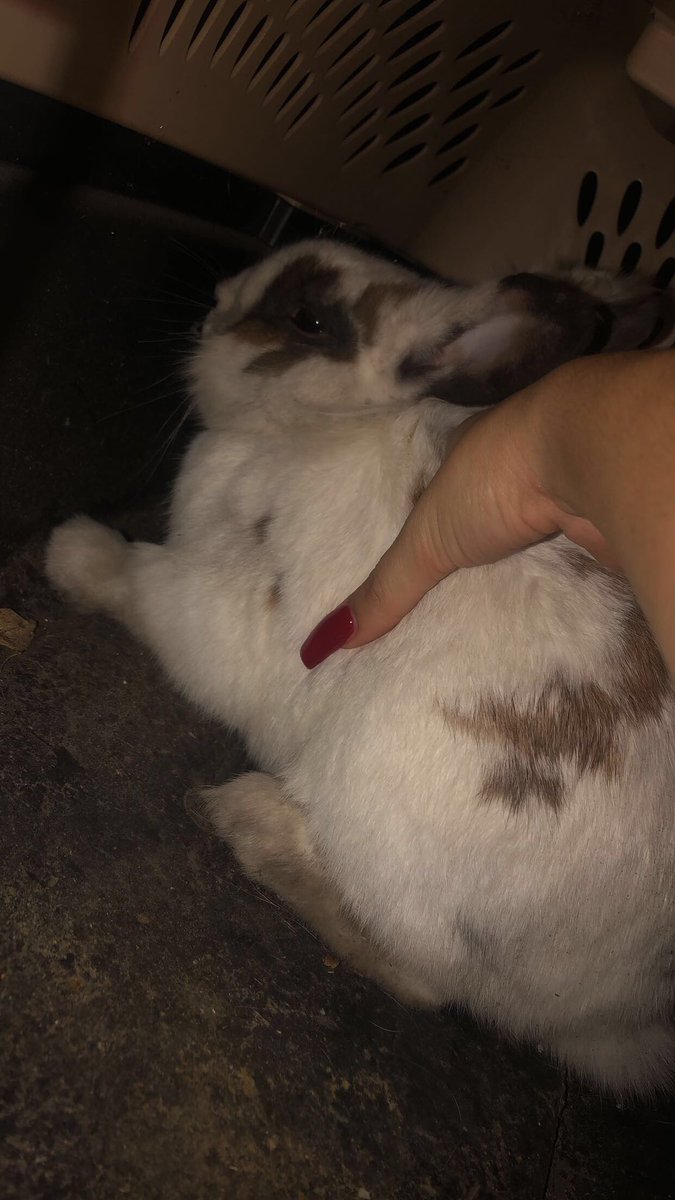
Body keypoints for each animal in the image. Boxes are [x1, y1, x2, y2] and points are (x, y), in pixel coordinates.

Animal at [45, 239, 675, 1097]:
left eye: (308, 319)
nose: (214, 304)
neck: (318, 427)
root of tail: (616, 1020)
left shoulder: (229, 611)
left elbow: (145, 588)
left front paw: (72, 552)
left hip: (383, 809)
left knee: (426, 986)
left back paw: (250, 820)